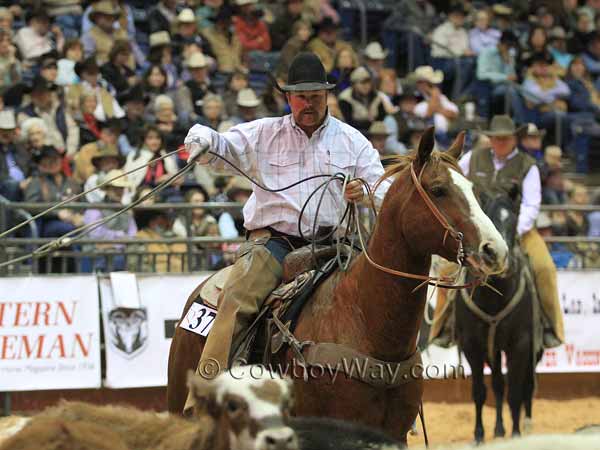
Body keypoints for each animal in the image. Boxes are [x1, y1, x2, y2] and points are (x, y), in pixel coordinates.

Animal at [458, 190, 548, 442]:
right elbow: (480, 392)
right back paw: (498, 429)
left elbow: (515, 393)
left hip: (533, 351)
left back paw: (525, 426)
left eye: (514, 220)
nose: (500, 259)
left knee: (527, 385)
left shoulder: (520, 344)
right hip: (494, 350)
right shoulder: (472, 345)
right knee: (498, 384)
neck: (495, 297)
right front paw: (478, 435)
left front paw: (516, 433)